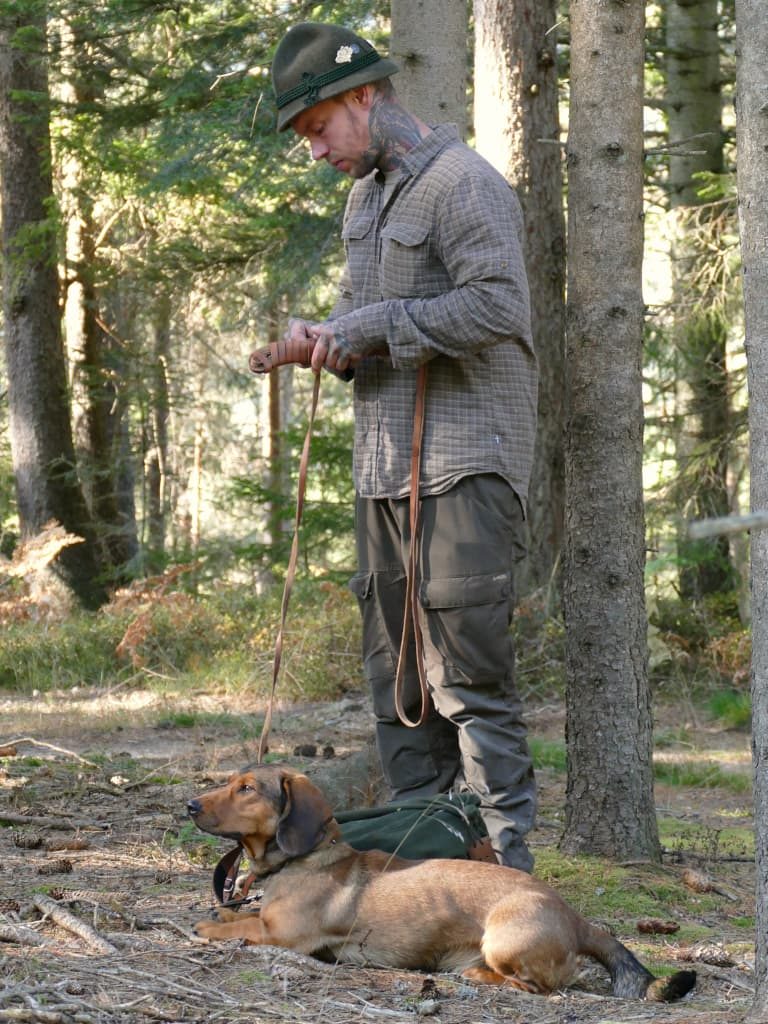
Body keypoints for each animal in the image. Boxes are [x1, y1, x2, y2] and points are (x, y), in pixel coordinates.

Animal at [188, 770, 696, 999]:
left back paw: (478, 976)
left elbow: (240, 927)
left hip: (502, 939)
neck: (302, 859)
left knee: (540, 986)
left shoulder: (285, 936)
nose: (190, 805)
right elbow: (239, 912)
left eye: (247, 789)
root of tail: (576, 919)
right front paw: (223, 910)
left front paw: (209, 927)